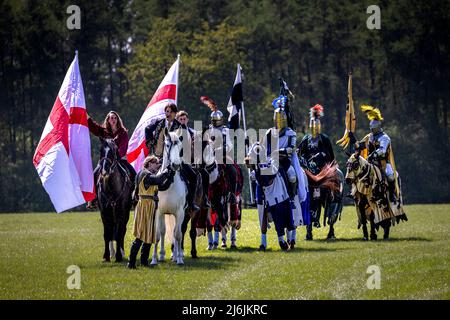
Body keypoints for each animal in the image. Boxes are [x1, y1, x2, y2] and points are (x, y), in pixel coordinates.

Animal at [151, 127, 186, 264]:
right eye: (167, 145)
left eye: (180, 146)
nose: (175, 165)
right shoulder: (158, 212)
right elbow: (157, 234)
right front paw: (154, 259)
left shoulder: (180, 212)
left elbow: (178, 235)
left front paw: (180, 259)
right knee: (163, 232)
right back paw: (162, 256)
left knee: (177, 233)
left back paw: (176, 256)